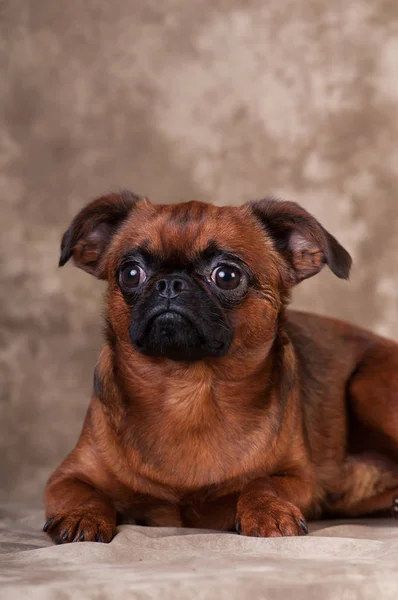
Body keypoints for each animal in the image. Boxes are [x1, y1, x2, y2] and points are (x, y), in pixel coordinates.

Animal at [43, 192, 398, 544]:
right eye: (130, 273)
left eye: (227, 276)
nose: (170, 283)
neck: (187, 391)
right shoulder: (66, 477)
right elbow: (84, 491)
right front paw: (83, 515)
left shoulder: (299, 477)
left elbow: (262, 482)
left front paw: (268, 511)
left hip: (367, 386)